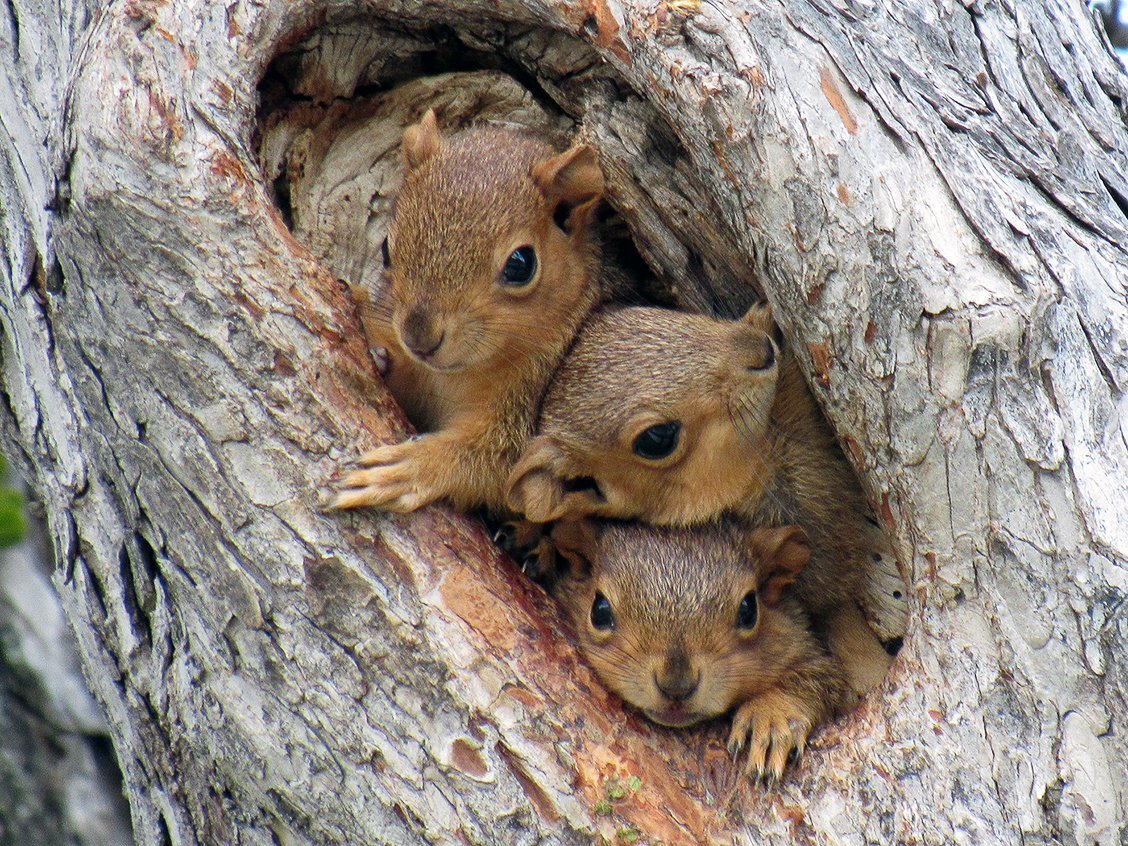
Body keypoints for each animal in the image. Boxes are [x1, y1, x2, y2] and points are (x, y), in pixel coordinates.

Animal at [329, 109, 609, 514]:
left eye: (521, 265)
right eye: (385, 248)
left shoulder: (528, 406)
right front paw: (377, 352)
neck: (450, 376)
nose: (419, 339)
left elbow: (496, 465)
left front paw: (409, 468)